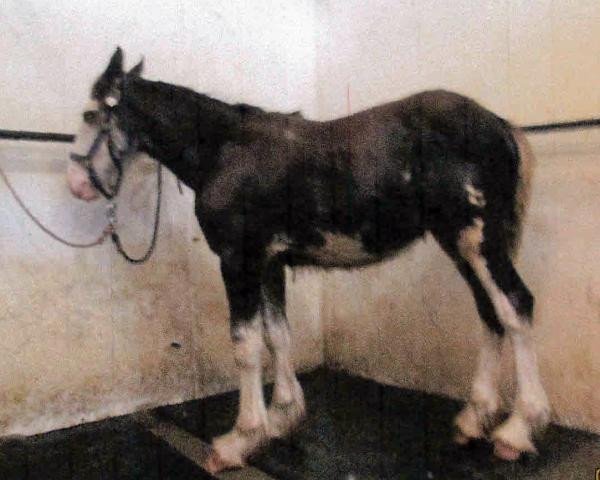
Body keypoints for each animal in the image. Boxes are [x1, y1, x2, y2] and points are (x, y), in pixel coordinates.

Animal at [67, 48, 548, 472]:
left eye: (90, 115)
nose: (77, 183)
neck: (224, 150)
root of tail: (499, 125)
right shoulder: (270, 263)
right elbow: (278, 335)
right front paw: (283, 416)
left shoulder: (238, 260)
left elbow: (246, 345)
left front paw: (241, 438)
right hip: (461, 245)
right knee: (490, 312)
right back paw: (475, 419)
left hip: (479, 241)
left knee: (515, 306)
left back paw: (518, 429)